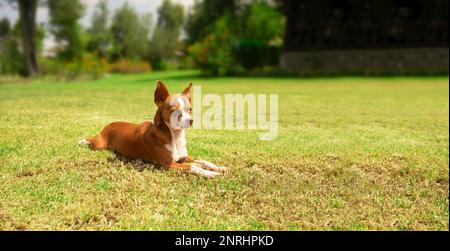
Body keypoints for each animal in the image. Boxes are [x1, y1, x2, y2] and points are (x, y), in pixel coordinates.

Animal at [78, 81, 227, 177]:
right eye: (173, 110)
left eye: (189, 109)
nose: (190, 120)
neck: (174, 136)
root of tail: (107, 125)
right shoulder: (168, 165)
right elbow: (194, 166)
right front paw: (210, 173)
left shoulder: (184, 158)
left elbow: (203, 161)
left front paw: (218, 167)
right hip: (99, 145)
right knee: (92, 140)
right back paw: (84, 141)